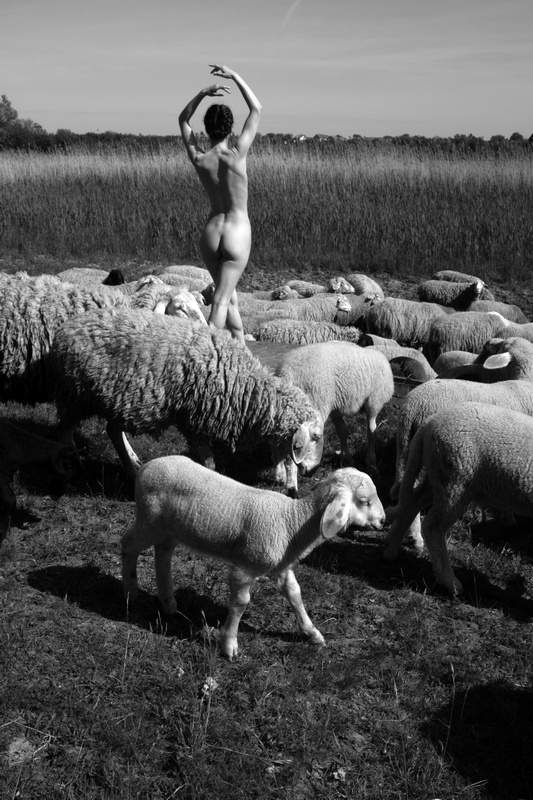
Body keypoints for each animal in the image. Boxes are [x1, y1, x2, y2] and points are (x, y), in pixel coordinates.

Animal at [51, 309, 325, 495]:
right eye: (312, 438)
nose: (309, 475)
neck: (247, 388)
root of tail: (67, 327)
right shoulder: (194, 419)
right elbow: (210, 463)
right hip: (77, 395)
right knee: (64, 431)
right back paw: (67, 473)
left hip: (118, 399)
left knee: (112, 431)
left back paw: (133, 471)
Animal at [122, 456, 385, 659]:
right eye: (364, 501)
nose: (383, 521)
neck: (292, 521)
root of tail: (147, 466)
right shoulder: (245, 566)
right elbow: (241, 602)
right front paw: (229, 645)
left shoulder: (282, 566)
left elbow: (295, 594)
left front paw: (312, 633)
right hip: (149, 520)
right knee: (128, 545)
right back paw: (130, 592)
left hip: (170, 529)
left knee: (163, 554)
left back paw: (168, 603)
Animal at [384, 402, 533, 596]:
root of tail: (428, 424)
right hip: (455, 480)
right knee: (433, 527)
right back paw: (450, 582)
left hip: (437, 475)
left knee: (412, 503)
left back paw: (391, 550)